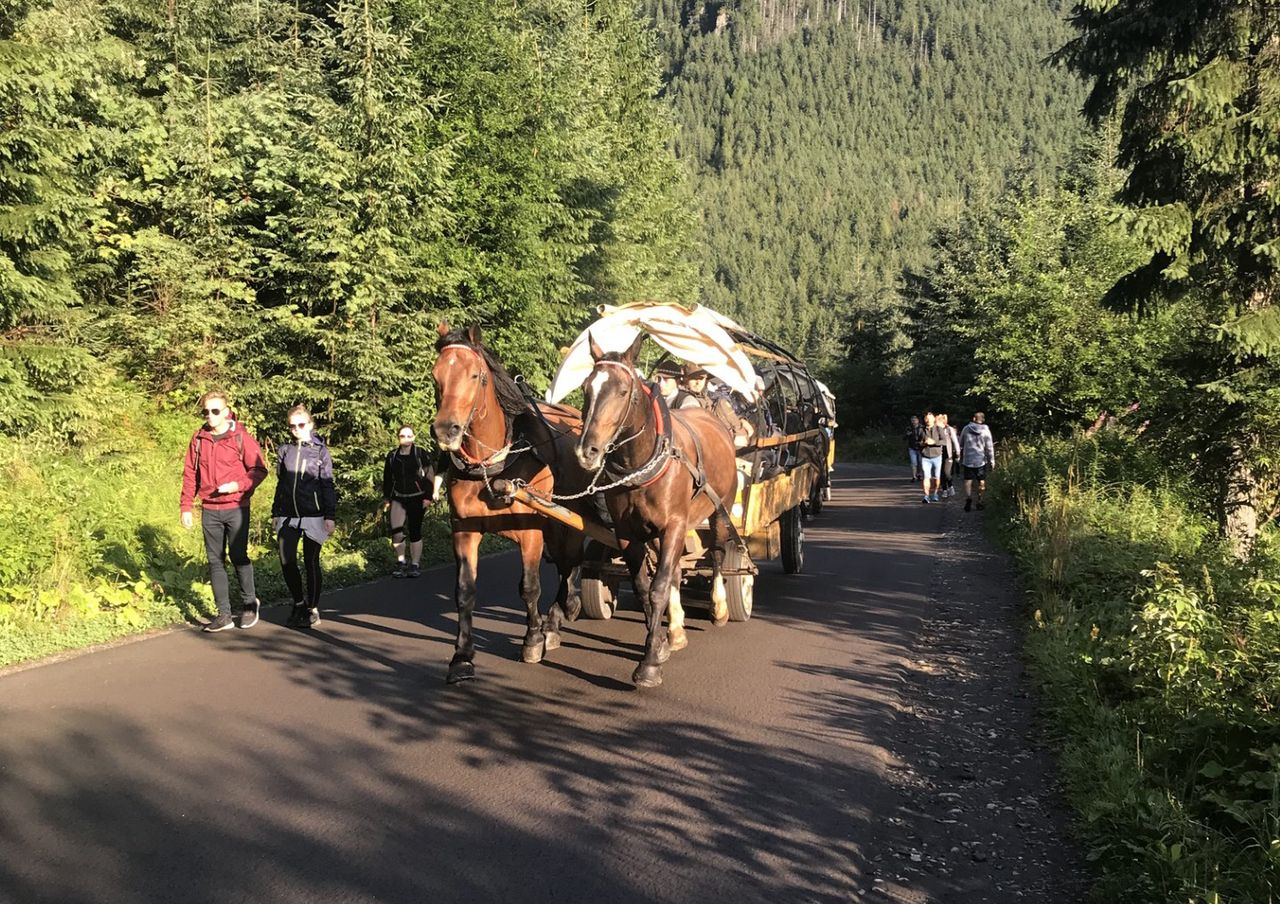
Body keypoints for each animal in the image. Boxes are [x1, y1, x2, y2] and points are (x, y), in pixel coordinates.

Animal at [430, 320, 588, 681]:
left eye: (475, 375)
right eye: (435, 374)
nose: (445, 430)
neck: (494, 465)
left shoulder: (532, 531)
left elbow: (529, 587)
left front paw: (533, 639)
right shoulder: (464, 529)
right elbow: (465, 592)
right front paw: (462, 656)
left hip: (567, 520)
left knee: (570, 563)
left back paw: (562, 612)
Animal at [578, 335, 747, 686]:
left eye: (622, 391)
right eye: (587, 387)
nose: (587, 451)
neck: (641, 464)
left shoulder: (674, 525)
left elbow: (658, 588)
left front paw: (649, 665)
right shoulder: (629, 534)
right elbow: (646, 587)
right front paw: (659, 645)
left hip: (721, 509)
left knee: (718, 555)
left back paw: (720, 607)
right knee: (676, 571)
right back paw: (678, 628)